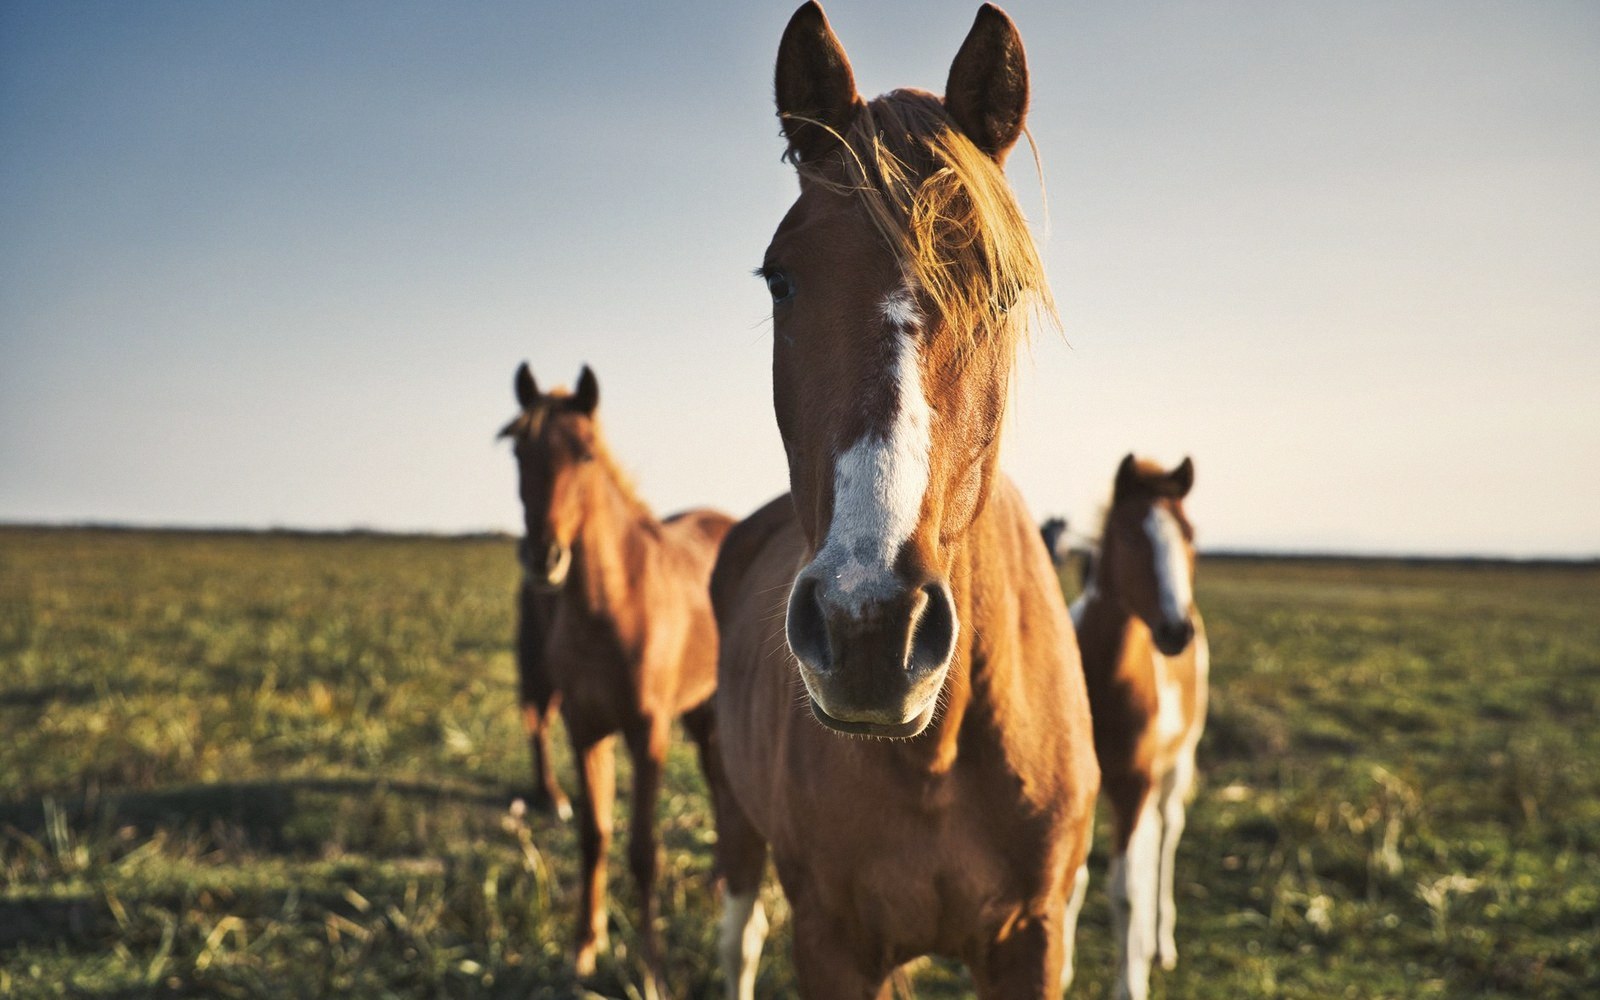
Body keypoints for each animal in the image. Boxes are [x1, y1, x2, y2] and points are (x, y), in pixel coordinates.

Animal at [499, 362, 734, 996]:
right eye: (519, 451)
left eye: (584, 454)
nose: (543, 558)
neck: (613, 605)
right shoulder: (586, 731)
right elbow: (595, 836)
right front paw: (584, 948)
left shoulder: (647, 734)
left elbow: (643, 849)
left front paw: (651, 968)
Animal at [707, 5, 1099, 997]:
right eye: (781, 277)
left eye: (1004, 288)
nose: (869, 626)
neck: (942, 755)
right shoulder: (834, 940)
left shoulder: (1034, 936)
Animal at [1063, 454, 1209, 1000]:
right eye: (1128, 533)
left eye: (1189, 535)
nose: (1176, 631)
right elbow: (1076, 879)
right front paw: (1061, 968)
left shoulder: (1133, 785)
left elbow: (1125, 891)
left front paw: (1131, 981)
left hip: (1172, 771)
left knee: (1165, 839)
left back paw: (1159, 944)